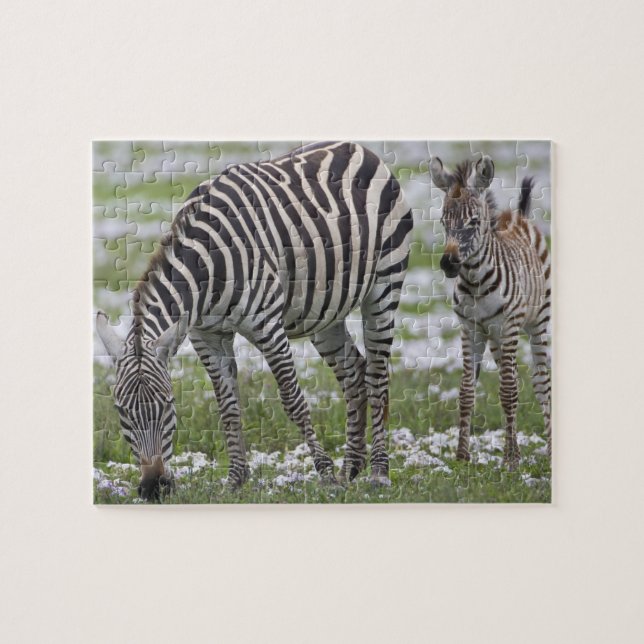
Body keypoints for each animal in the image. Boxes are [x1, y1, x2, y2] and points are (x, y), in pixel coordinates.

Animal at [96, 141, 413, 499]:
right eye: (121, 411)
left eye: (167, 405)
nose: (154, 488)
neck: (207, 268)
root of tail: (356, 146)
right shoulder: (206, 335)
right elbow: (228, 406)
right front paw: (235, 479)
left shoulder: (267, 326)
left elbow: (293, 400)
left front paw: (325, 475)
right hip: (326, 311)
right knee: (354, 373)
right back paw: (351, 468)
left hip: (384, 284)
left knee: (377, 375)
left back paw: (378, 473)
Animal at [429, 155, 551, 467]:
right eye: (443, 222)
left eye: (473, 222)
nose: (448, 264)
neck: (475, 282)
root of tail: (518, 215)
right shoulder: (470, 329)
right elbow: (466, 392)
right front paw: (462, 456)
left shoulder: (508, 326)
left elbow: (508, 392)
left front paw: (509, 461)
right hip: (496, 338)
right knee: (514, 377)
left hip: (537, 323)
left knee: (541, 383)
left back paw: (548, 449)